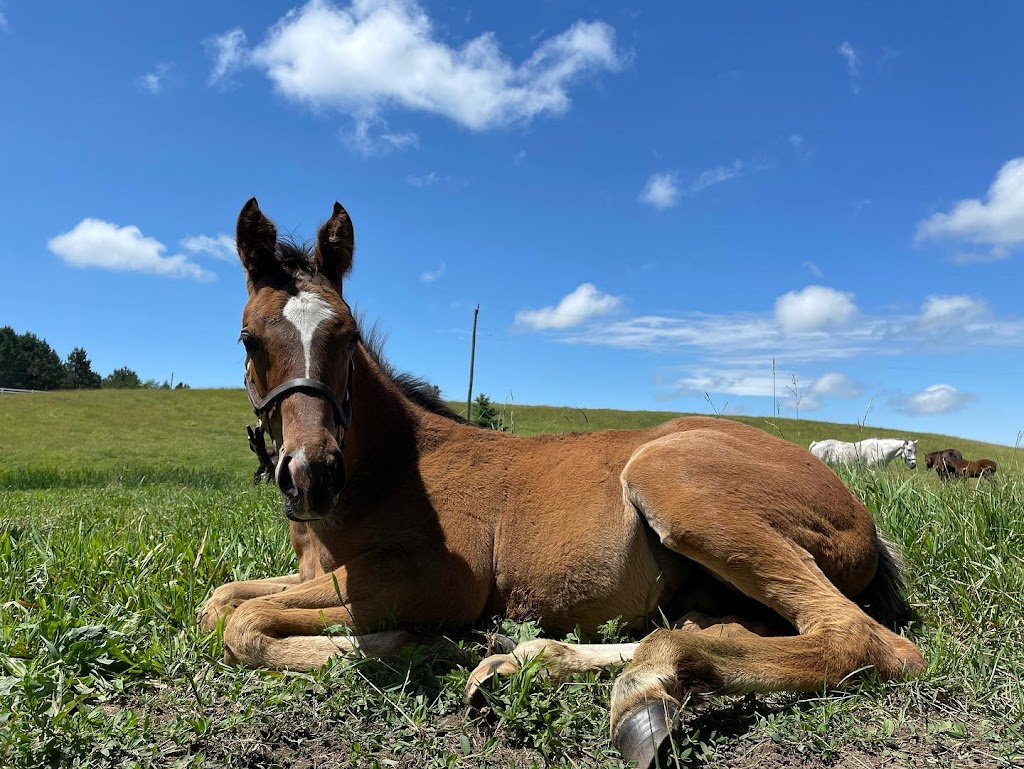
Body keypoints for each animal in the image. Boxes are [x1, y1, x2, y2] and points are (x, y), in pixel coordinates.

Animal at [199, 199, 929, 769]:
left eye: (347, 336)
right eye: (248, 339)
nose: (311, 476)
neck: (387, 472)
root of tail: (862, 518)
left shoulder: (434, 580)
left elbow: (245, 621)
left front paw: (409, 644)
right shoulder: (314, 571)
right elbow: (221, 603)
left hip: (674, 483)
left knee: (863, 638)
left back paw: (628, 685)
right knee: (723, 627)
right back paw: (520, 662)